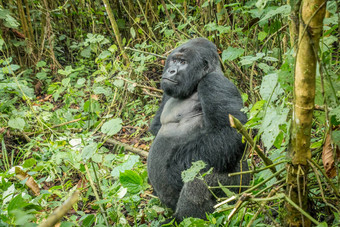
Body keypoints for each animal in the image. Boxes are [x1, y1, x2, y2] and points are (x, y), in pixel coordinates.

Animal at [147, 37, 250, 223]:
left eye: (183, 62)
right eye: (174, 60)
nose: (171, 70)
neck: (194, 85)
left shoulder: (214, 83)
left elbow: (229, 134)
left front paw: (174, 172)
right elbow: (157, 126)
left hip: (237, 188)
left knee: (198, 180)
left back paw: (183, 219)